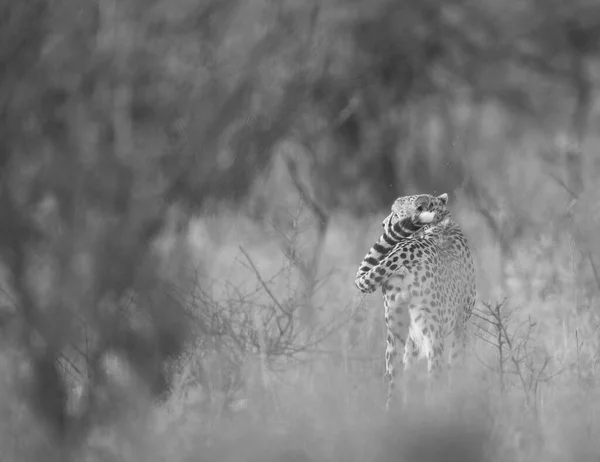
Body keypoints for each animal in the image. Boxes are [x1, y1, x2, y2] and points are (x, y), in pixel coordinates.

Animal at [354, 193, 476, 410]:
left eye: (395, 213)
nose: (383, 223)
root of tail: (406, 250)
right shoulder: (460, 325)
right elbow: (456, 365)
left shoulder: (411, 338)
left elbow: (408, 373)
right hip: (433, 332)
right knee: (434, 376)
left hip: (395, 331)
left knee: (394, 381)